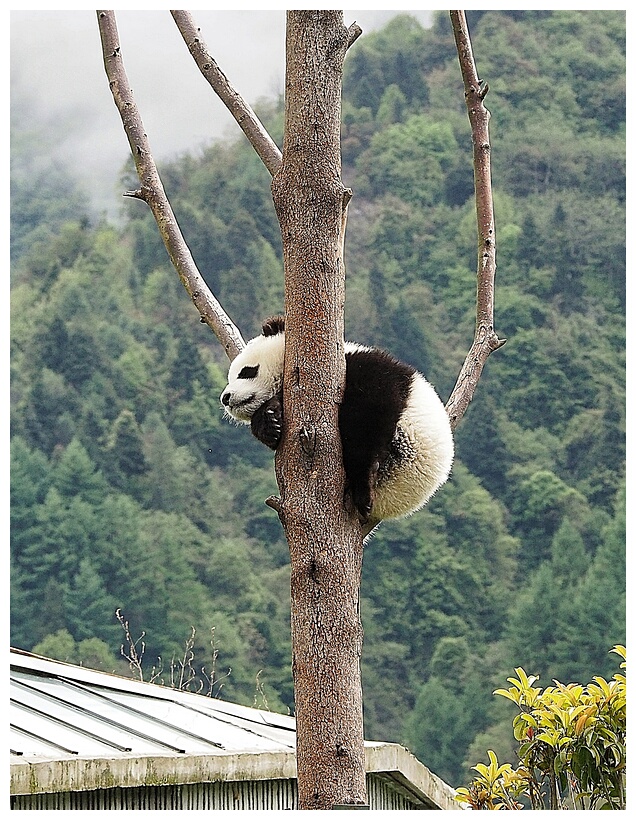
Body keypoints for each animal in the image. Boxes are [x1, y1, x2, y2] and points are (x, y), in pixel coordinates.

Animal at [221, 314, 454, 532]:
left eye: (247, 371)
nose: (225, 398)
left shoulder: (365, 366)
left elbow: (374, 397)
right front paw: (270, 420)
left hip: (408, 437)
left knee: (364, 432)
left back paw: (363, 486)